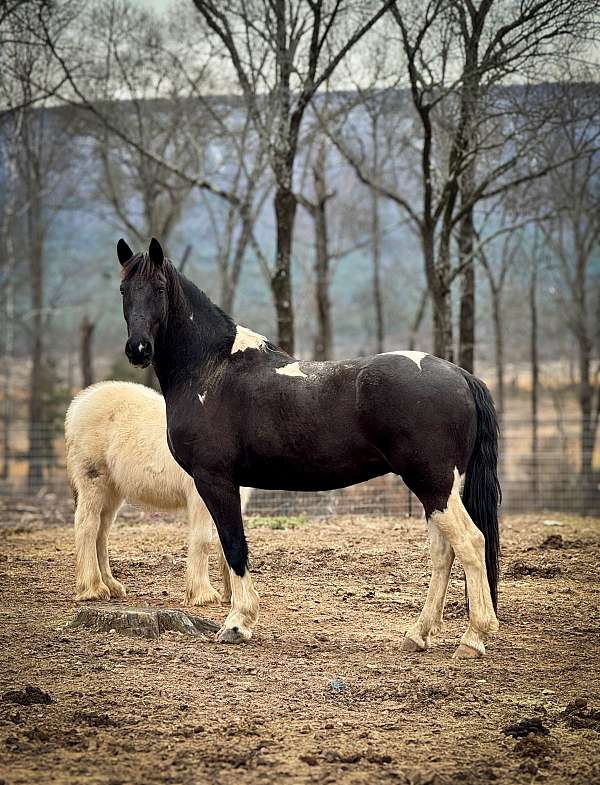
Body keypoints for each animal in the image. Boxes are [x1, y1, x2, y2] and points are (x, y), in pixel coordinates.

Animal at [66, 382, 251, 604]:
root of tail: (78, 405)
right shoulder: (200, 498)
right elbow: (203, 540)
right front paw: (202, 595)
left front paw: (232, 595)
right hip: (93, 482)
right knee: (87, 526)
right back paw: (93, 588)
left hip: (112, 492)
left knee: (101, 533)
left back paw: (111, 586)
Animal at [117, 237, 502, 656]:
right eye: (123, 290)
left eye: (159, 289)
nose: (138, 349)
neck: (211, 369)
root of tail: (460, 375)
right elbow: (228, 546)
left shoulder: (215, 480)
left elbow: (234, 545)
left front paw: (237, 624)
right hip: (439, 488)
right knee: (444, 552)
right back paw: (419, 633)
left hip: (434, 484)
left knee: (470, 543)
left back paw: (474, 638)